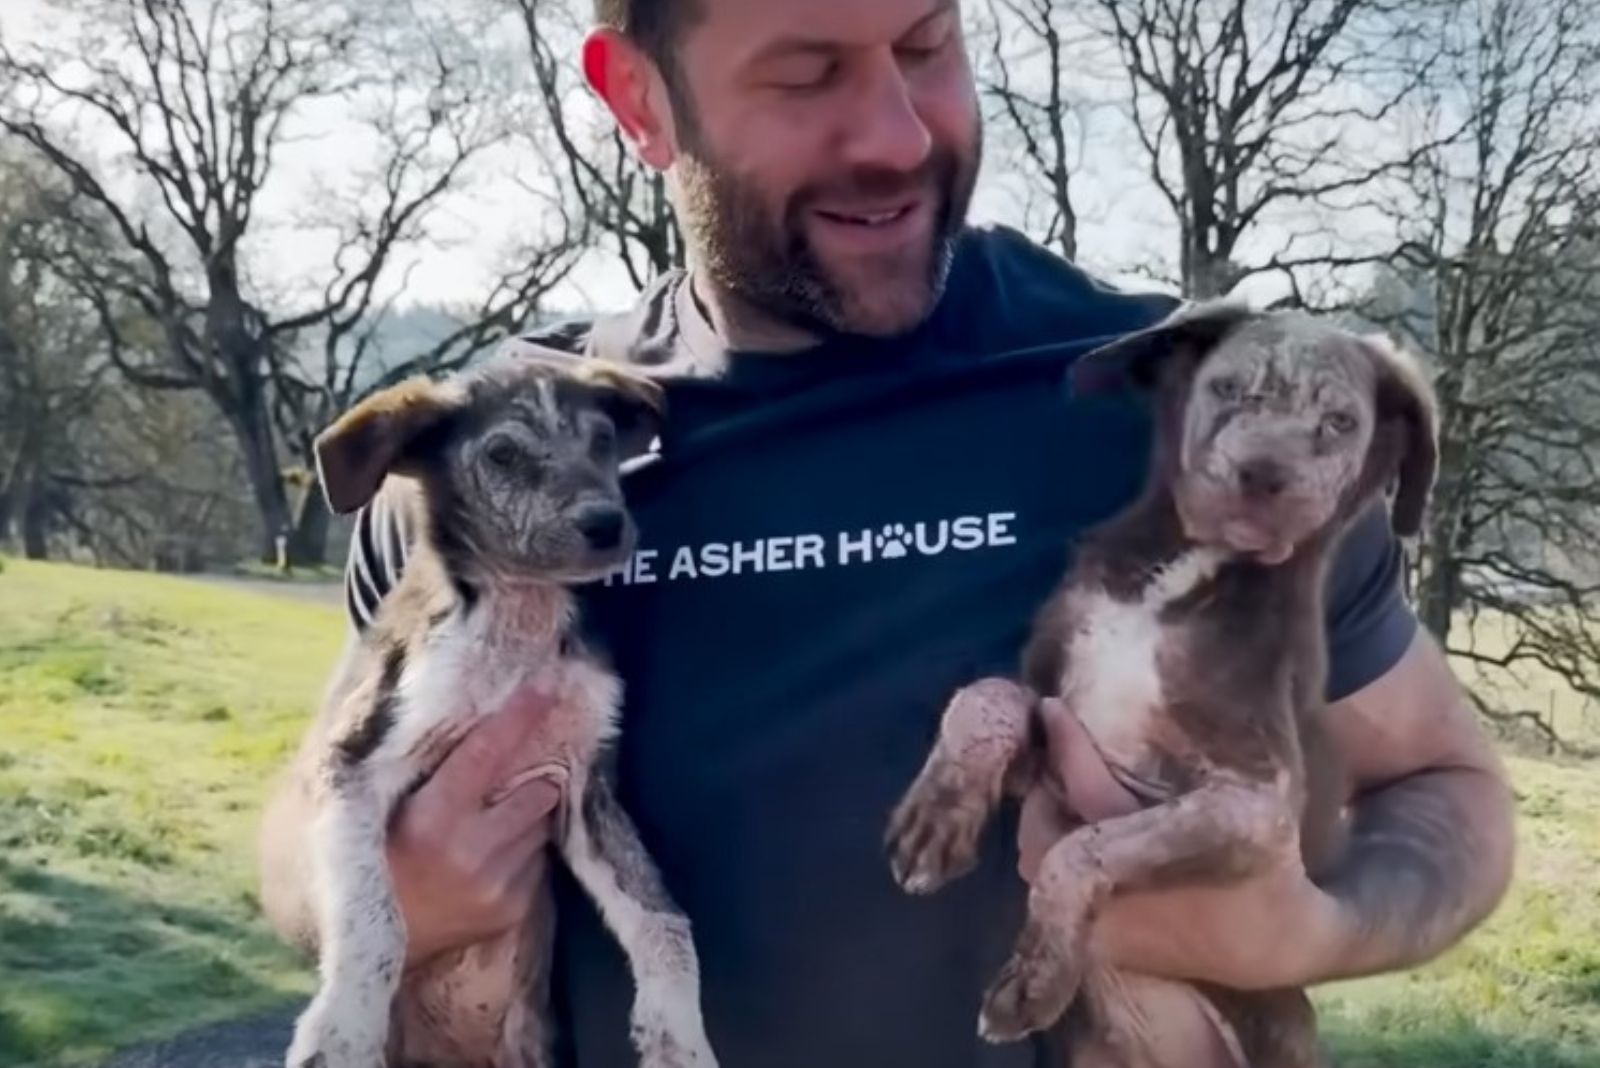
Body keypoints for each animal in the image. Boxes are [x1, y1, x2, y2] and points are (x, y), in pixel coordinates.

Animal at [278, 354, 716, 1068]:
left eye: (602, 440)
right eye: (503, 454)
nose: (606, 524)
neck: (519, 625)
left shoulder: (586, 791)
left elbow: (662, 915)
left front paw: (678, 1033)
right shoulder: (351, 762)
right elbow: (376, 917)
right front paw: (344, 1026)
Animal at [889, 300, 1440, 1068]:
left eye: (1339, 423)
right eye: (1228, 388)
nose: (1261, 475)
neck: (1189, 568)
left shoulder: (1252, 804)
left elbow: (1083, 847)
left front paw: (1036, 975)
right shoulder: (1054, 726)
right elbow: (985, 695)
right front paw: (937, 815)